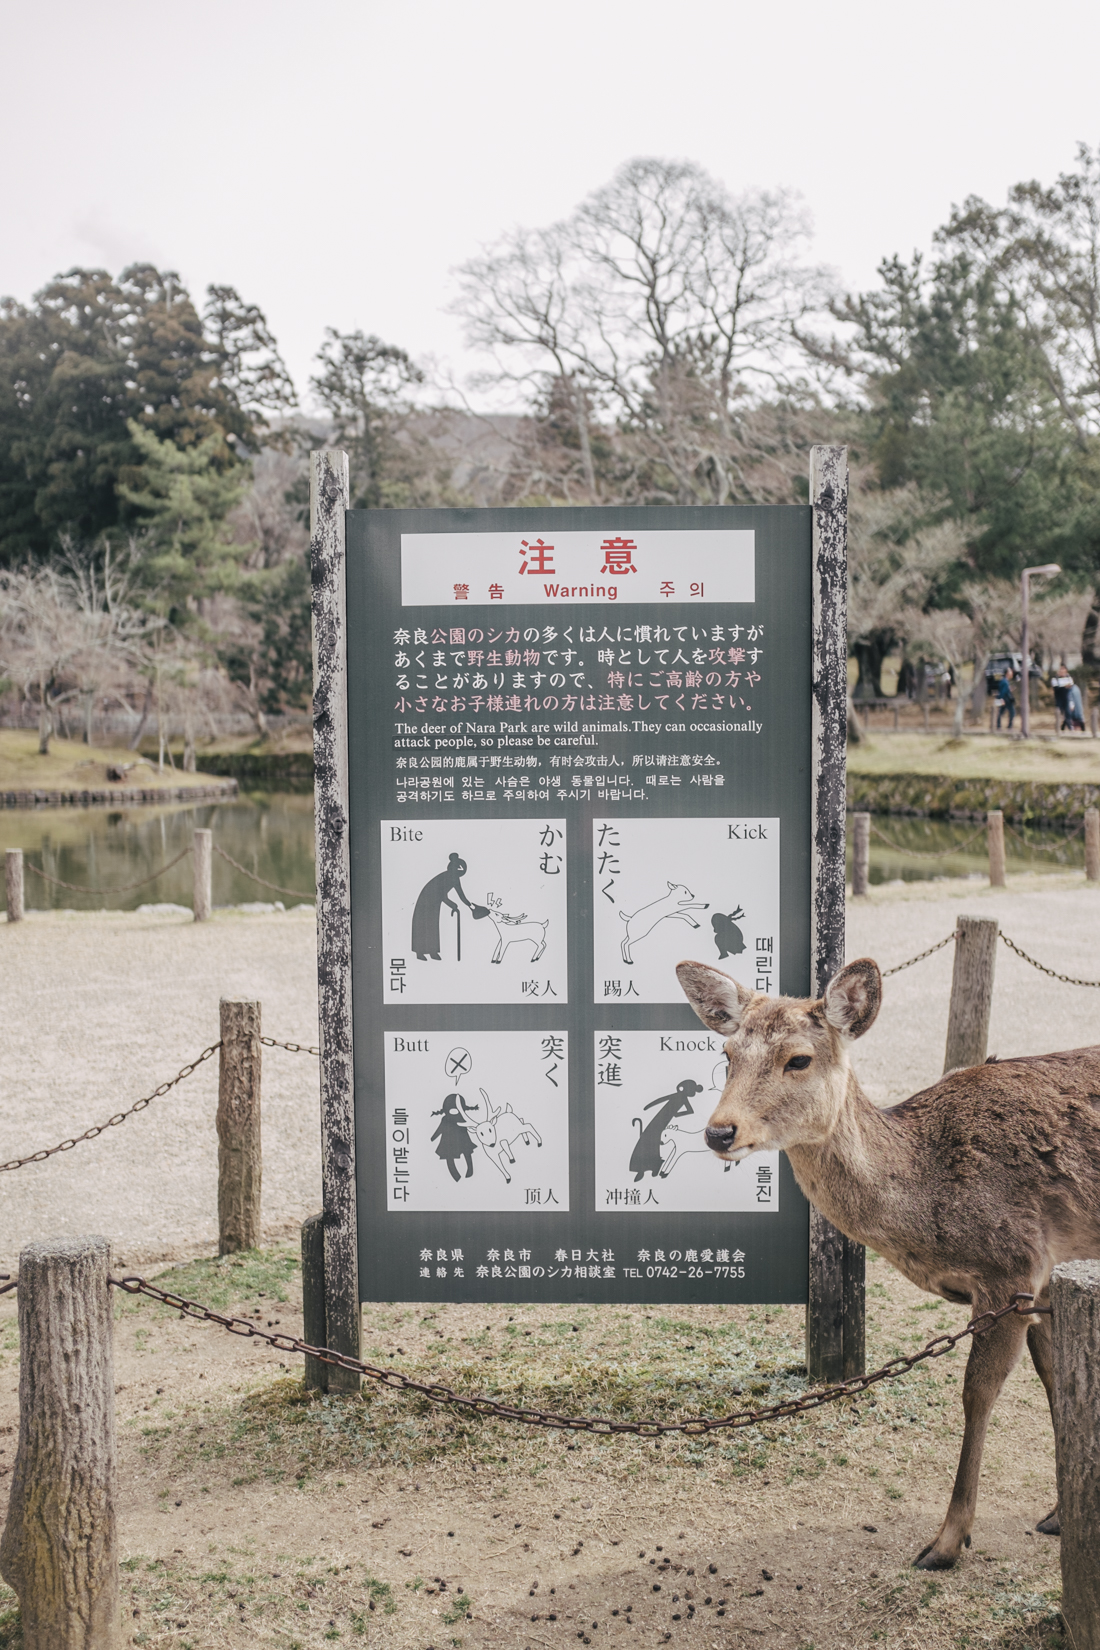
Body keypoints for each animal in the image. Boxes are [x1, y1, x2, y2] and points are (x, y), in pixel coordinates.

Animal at [676, 950, 1100, 1564]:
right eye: (727, 1054)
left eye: (798, 1059)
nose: (719, 1132)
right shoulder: (1045, 1276)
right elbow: (1055, 1378)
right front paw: (1060, 1516)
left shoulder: (1012, 1264)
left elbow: (977, 1391)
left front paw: (945, 1542)